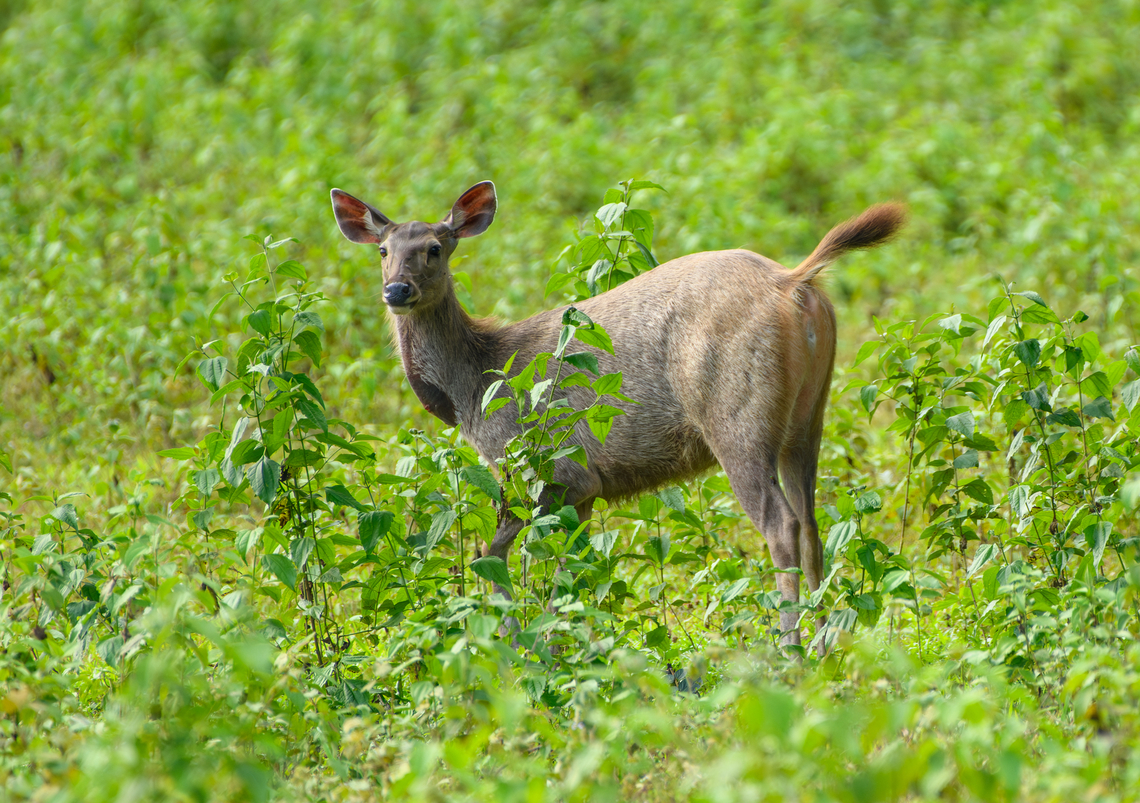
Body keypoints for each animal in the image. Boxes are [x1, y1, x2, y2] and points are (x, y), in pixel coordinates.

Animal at [330, 181, 905, 649]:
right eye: (383, 249)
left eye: (435, 248)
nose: (396, 289)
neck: (474, 389)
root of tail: (794, 281)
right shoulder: (578, 488)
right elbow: (550, 567)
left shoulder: (549, 469)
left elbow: (502, 560)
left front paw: (525, 646)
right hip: (808, 421)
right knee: (813, 525)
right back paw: (825, 644)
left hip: (736, 419)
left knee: (781, 525)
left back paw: (791, 650)